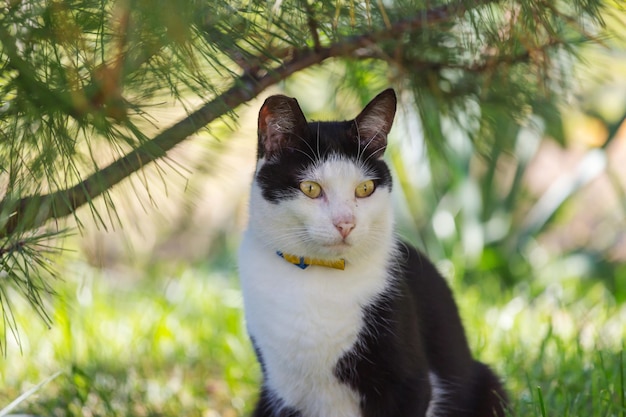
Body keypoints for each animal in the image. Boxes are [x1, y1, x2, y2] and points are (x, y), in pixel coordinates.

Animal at [236, 88, 504, 416]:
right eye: (311, 188)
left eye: (364, 189)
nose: (345, 223)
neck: (318, 276)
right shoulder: (283, 391)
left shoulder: (410, 384)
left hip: (487, 383)